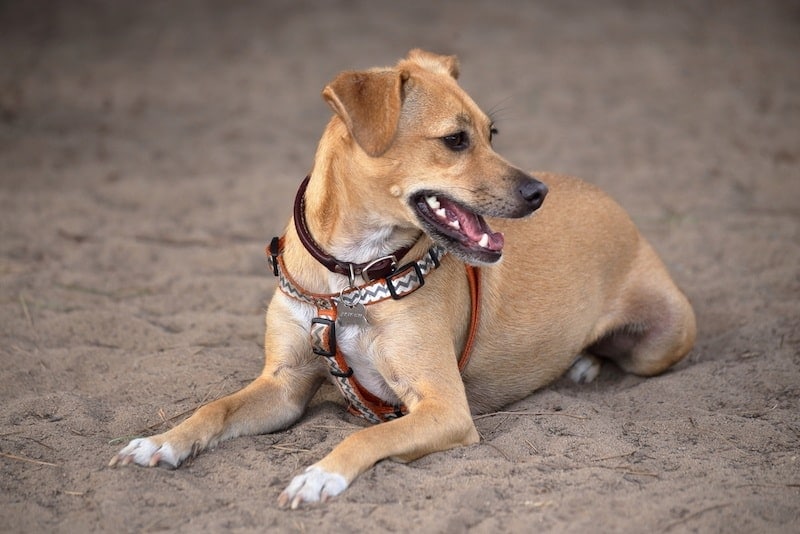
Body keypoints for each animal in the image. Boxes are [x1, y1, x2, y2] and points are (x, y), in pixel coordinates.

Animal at [109, 49, 696, 510]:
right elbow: (216, 406)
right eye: (456, 140)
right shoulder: (283, 386)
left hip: (664, 340)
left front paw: (320, 475)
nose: (537, 194)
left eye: (492, 134)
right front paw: (162, 441)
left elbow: (367, 440)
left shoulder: (444, 407)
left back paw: (583, 361)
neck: (349, 277)